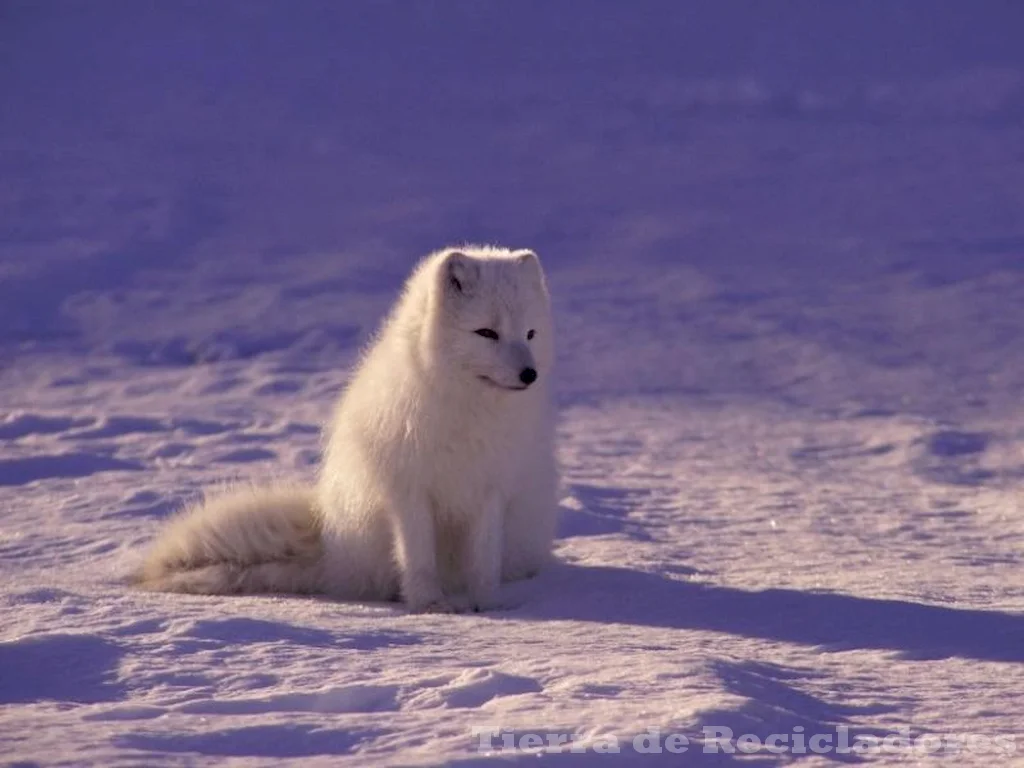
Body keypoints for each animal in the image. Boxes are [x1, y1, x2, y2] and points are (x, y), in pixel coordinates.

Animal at [134, 246, 561, 614]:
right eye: (486, 333)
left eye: (530, 334)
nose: (529, 374)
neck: (468, 410)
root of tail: (330, 546)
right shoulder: (408, 489)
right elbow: (418, 557)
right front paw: (430, 605)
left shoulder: (492, 488)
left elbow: (484, 561)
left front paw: (485, 605)